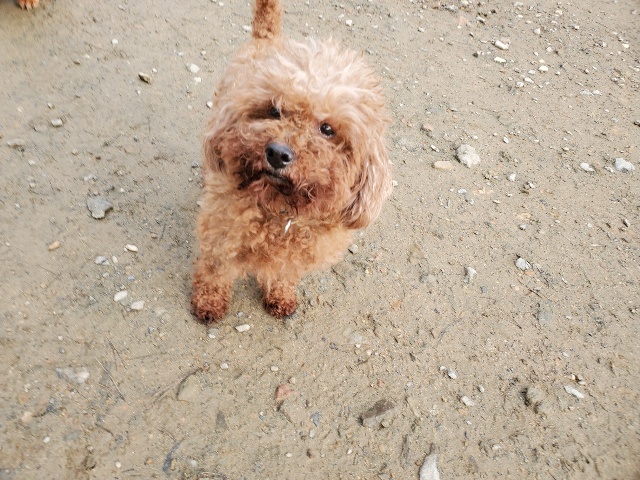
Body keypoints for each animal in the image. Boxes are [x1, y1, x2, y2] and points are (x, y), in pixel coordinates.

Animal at [191, 0, 392, 323]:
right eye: (274, 111)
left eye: (327, 129)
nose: (277, 153)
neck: (280, 207)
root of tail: (268, 39)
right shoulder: (220, 236)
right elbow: (214, 271)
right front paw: (209, 302)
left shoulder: (295, 256)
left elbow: (284, 274)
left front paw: (281, 296)